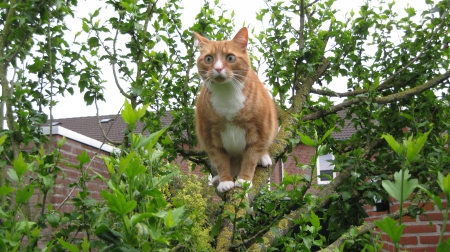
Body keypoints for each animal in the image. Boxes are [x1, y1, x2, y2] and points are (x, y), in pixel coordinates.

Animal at [193, 27, 278, 192]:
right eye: (209, 59)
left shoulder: (259, 131)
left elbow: (250, 158)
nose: (218, 68)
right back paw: (218, 178)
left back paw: (264, 158)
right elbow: (220, 160)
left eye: (230, 58)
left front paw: (244, 180)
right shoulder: (210, 136)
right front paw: (225, 181)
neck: (227, 96)